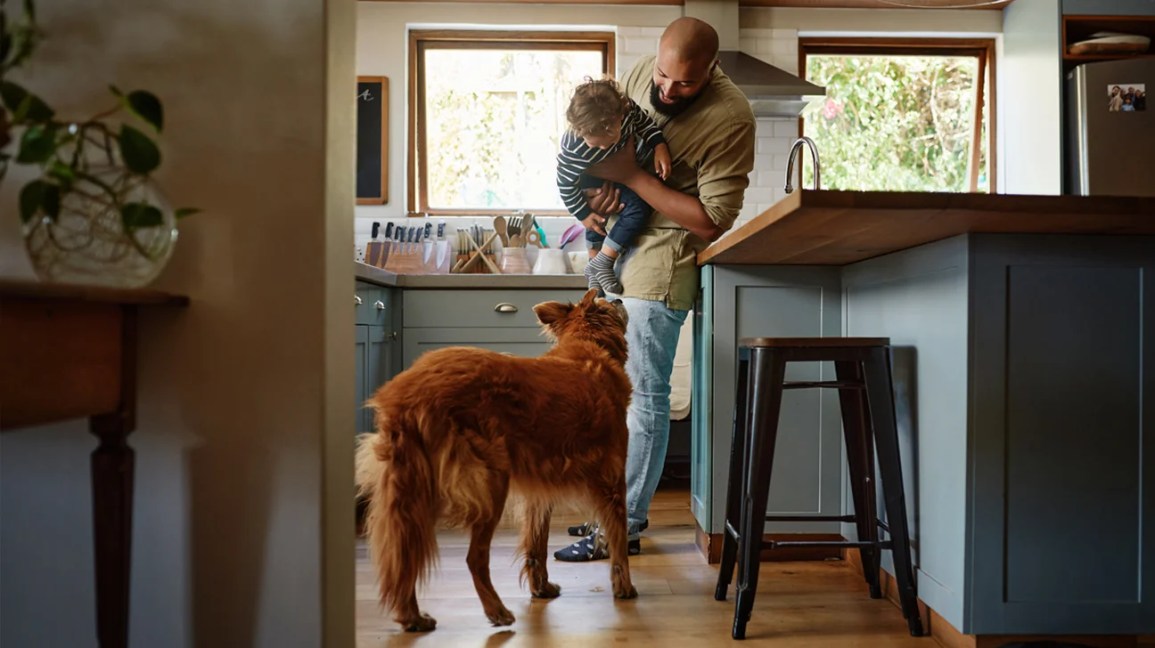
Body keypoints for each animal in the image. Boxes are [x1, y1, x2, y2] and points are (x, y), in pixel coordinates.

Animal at [355, 288, 637, 632]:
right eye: (606, 301)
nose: (620, 296)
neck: (589, 347)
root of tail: (406, 390)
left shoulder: (538, 491)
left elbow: (536, 543)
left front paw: (541, 588)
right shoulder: (613, 479)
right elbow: (619, 539)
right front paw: (625, 588)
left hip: (415, 485)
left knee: (405, 551)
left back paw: (412, 616)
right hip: (488, 483)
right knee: (472, 558)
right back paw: (496, 611)